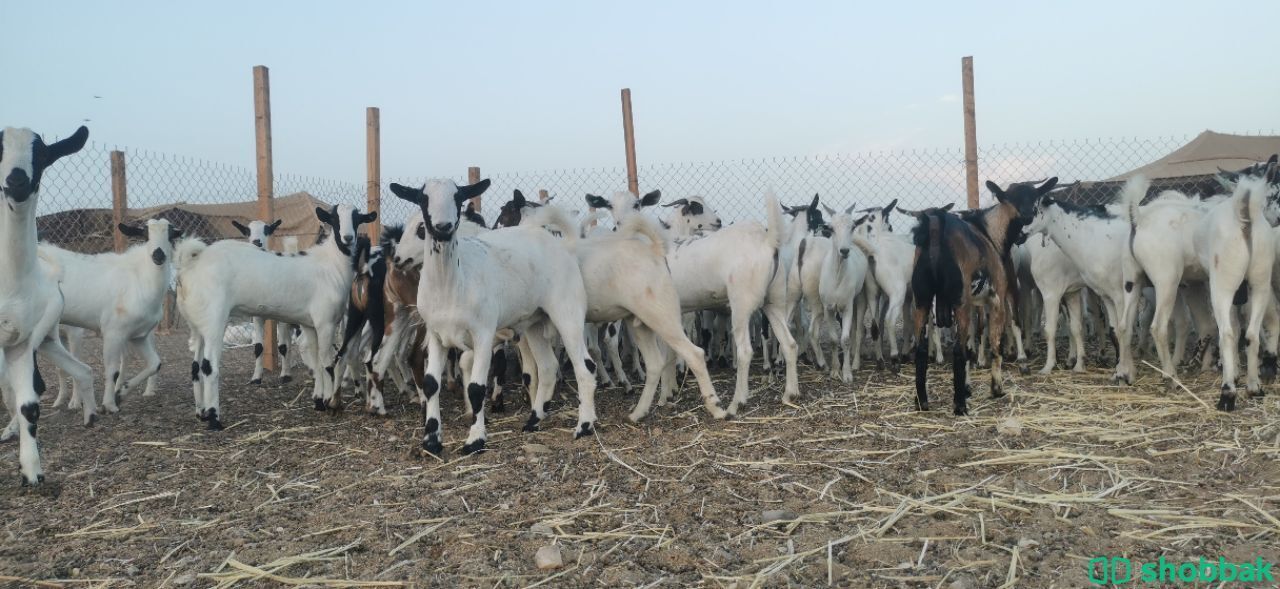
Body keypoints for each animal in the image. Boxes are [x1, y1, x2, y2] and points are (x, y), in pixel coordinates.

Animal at [0, 122, 94, 484]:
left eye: (40, 154)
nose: (16, 181)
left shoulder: (22, 342)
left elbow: (29, 402)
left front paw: (31, 471)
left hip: (48, 336)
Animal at [175, 204, 373, 430]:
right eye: (334, 218)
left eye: (357, 218)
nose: (348, 238)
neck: (331, 263)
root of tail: (191, 266)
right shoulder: (326, 322)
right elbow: (327, 363)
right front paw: (332, 403)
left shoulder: (310, 324)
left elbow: (316, 361)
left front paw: (319, 401)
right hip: (214, 320)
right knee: (209, 367)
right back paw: (214, 419)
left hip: (197, 323)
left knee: (195, 366)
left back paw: (201, 413)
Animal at [389, 177, 599, 455]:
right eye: (423, 200)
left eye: (458, 197)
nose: (443, 227)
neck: (452, 284)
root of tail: (563, 244)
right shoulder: (436, 335)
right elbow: (432, 384)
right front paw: (431, 441)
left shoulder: (484, 334)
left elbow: (477, 388)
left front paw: (475, 440)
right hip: (535, 322)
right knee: (548, 366)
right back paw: (533, 421)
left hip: (567, 311)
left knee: (584, 366)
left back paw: (584, 425)